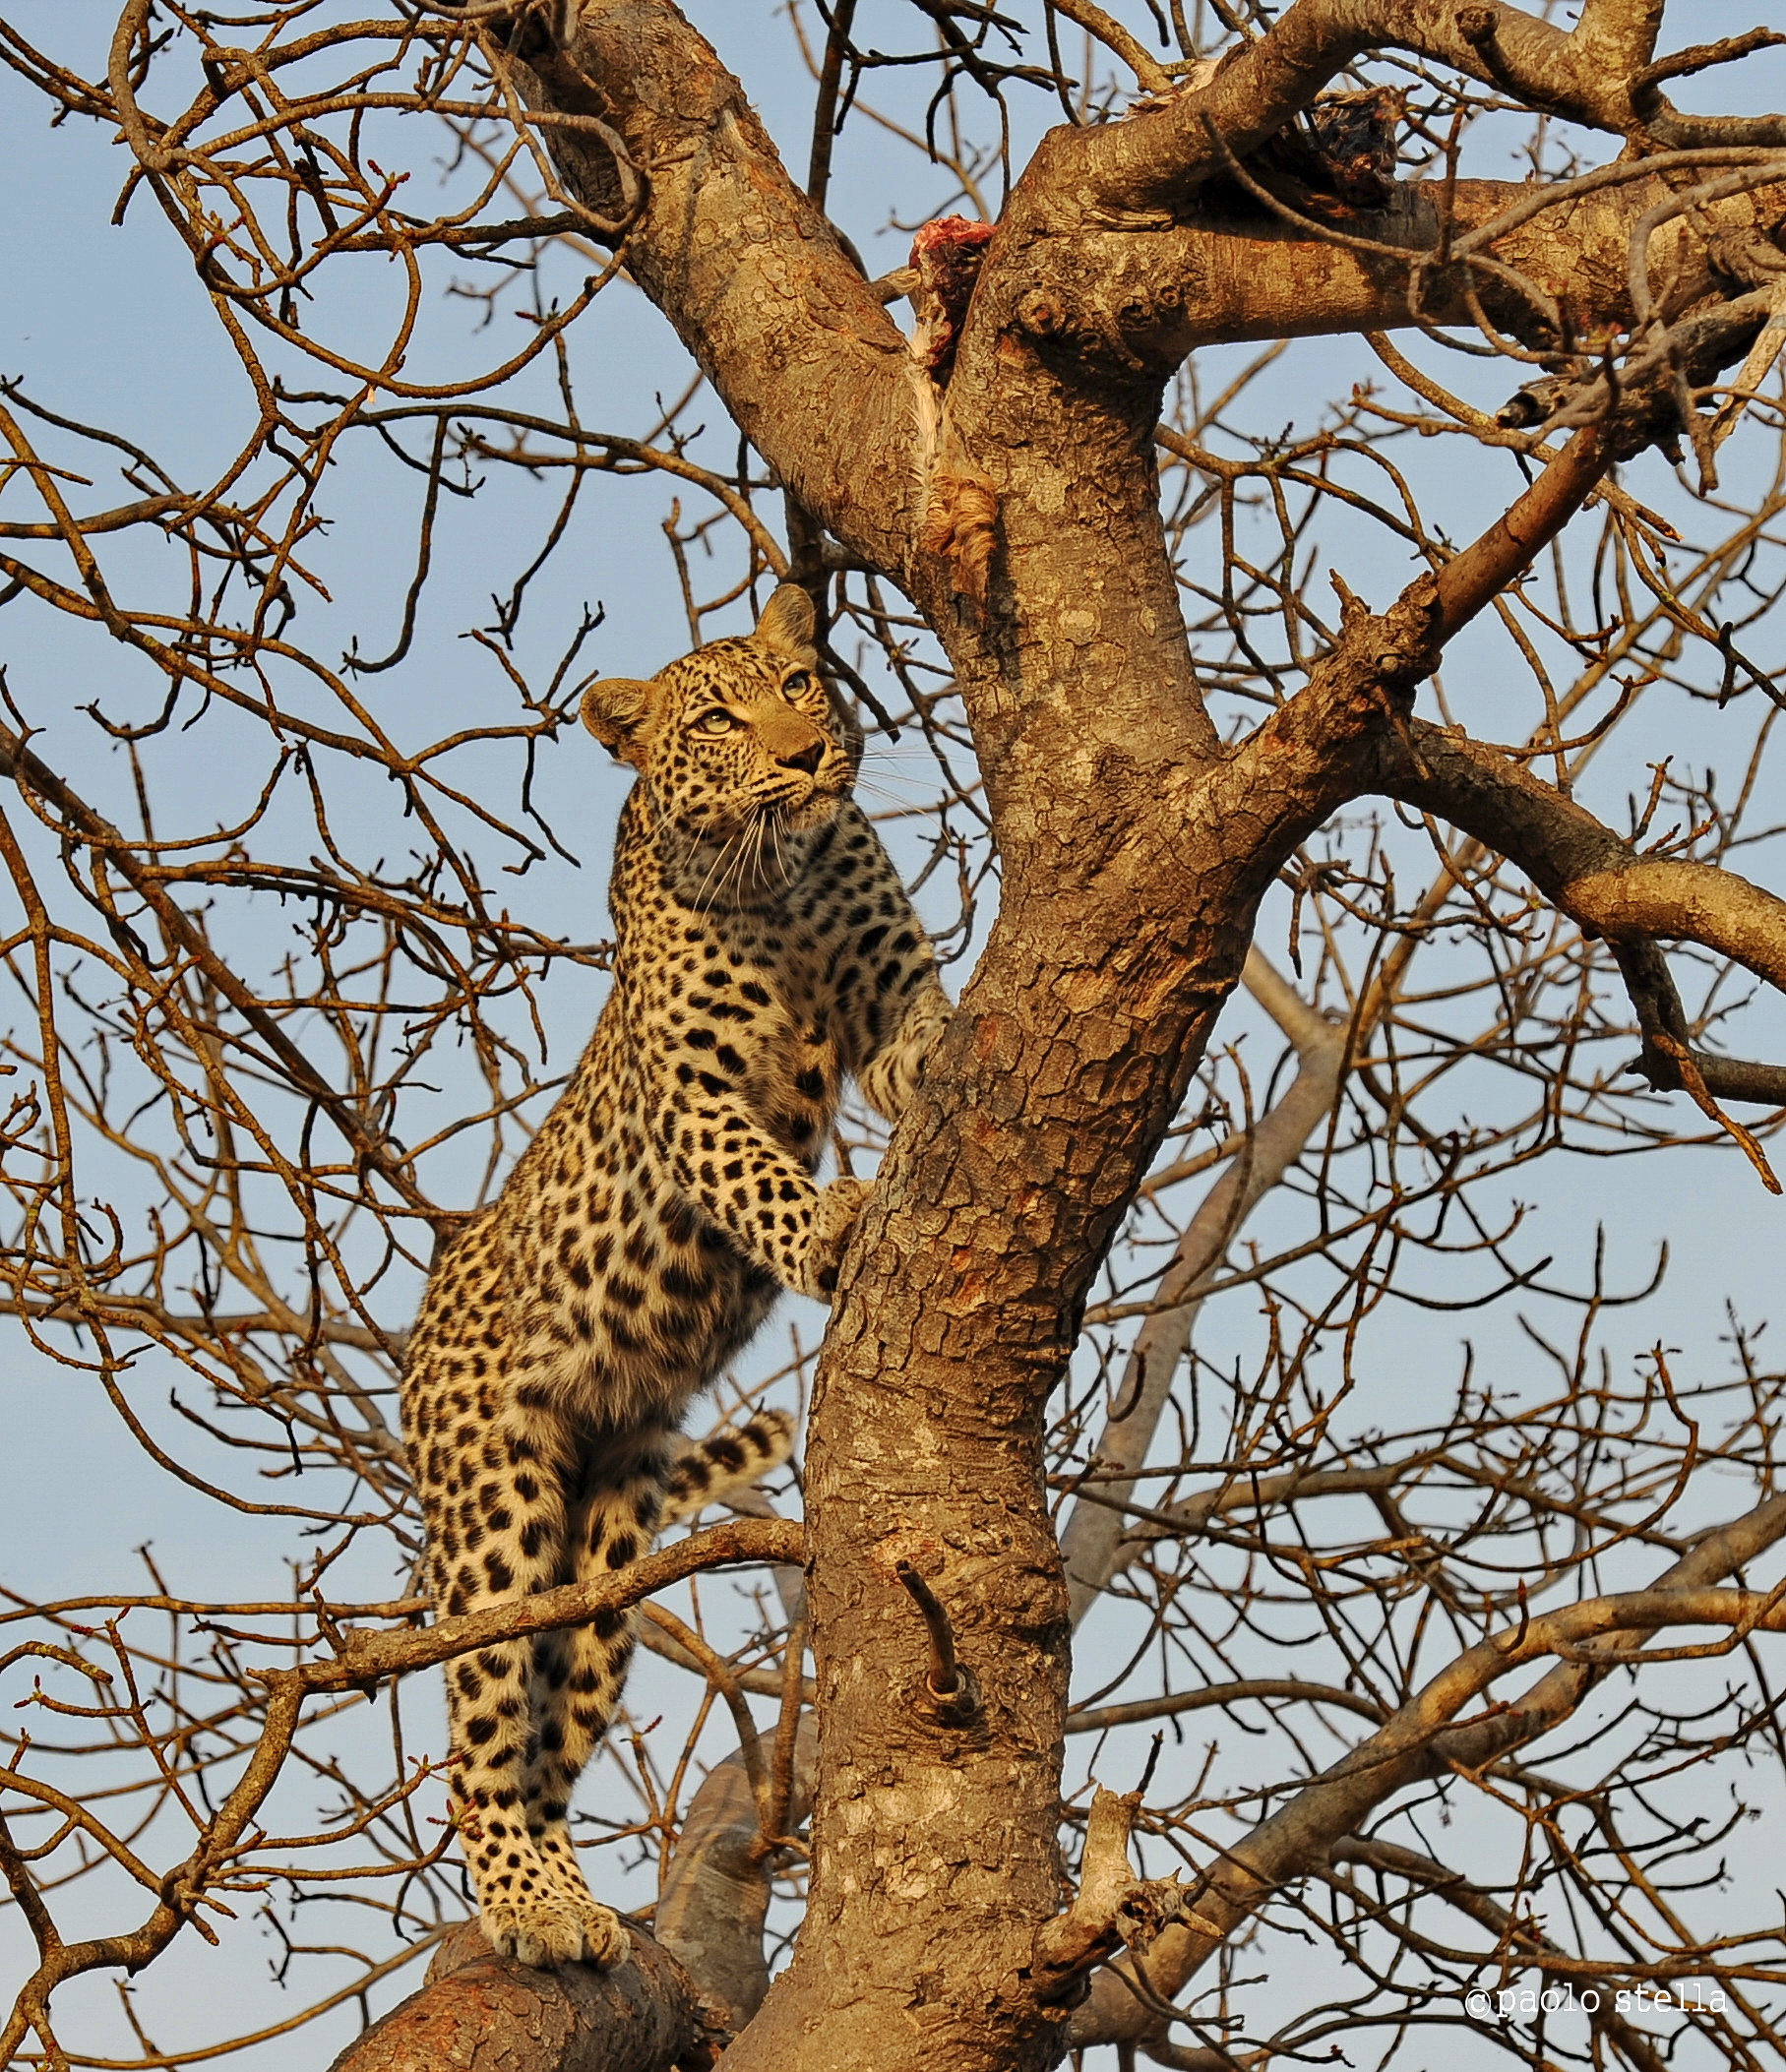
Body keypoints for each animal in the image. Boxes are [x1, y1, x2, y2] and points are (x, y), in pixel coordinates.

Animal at [400, 582, 950, 1969]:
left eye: (801, 685)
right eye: (717, 719)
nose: (807, 759)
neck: (779, 885)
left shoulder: (891, 998)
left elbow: (933, 1044)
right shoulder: (691, 1094)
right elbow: (753, 1174)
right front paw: (828, 1230)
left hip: (609, 1544)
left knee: (551, 1737)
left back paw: (574, 1891)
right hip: (495, 1502)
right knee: (479, 1737)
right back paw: (528, 1907)